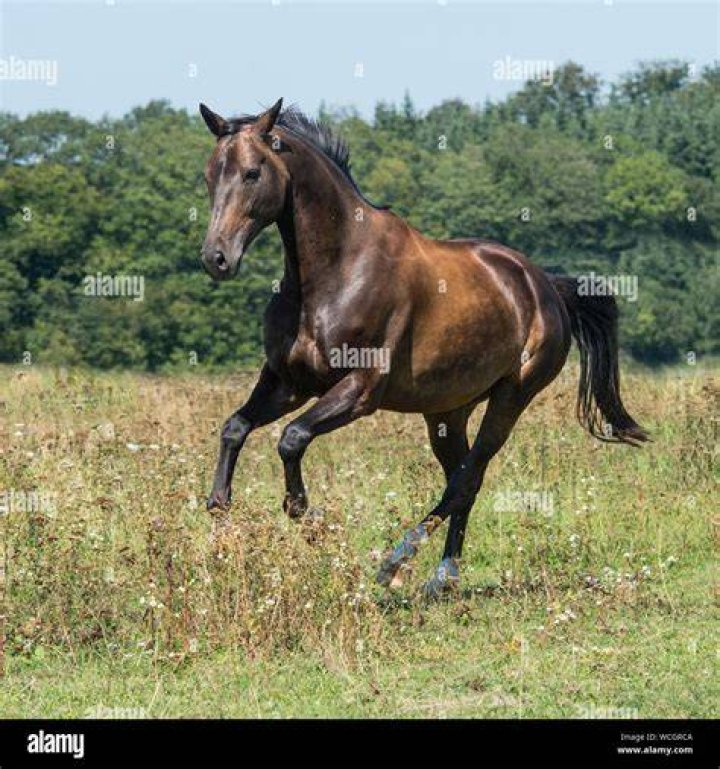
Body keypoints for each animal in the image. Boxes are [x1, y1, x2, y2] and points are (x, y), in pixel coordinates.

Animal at [198, 98, 648, 597]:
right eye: (210, 174)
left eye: (253, 172)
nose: (216, 258)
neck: (335, 271)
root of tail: (545, 285)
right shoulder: (288, 381)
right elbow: (235, 427)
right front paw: (219, 507)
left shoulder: (359, 390)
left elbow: (291, 439)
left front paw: (305, 515)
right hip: (447, 412)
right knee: (463, 477)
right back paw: (442, 576)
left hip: (511, 397)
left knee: (465, 480)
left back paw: (397, 564)